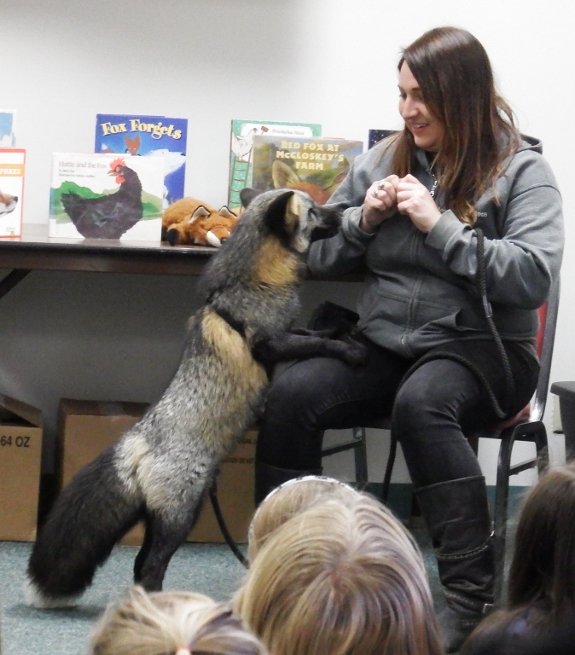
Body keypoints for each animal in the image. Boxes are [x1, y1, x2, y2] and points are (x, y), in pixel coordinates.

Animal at [24, 187, 366, 608]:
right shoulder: (270, 343)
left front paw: (341, 329)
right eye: (315, 211)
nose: (345, 209)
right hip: (180, 519)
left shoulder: (287, 333)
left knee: (140, 566)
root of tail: (135, 444)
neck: (254, 282)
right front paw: (349, 350)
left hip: (173, 516)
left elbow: (316, 333)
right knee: (150, 567)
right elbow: (318, 342)